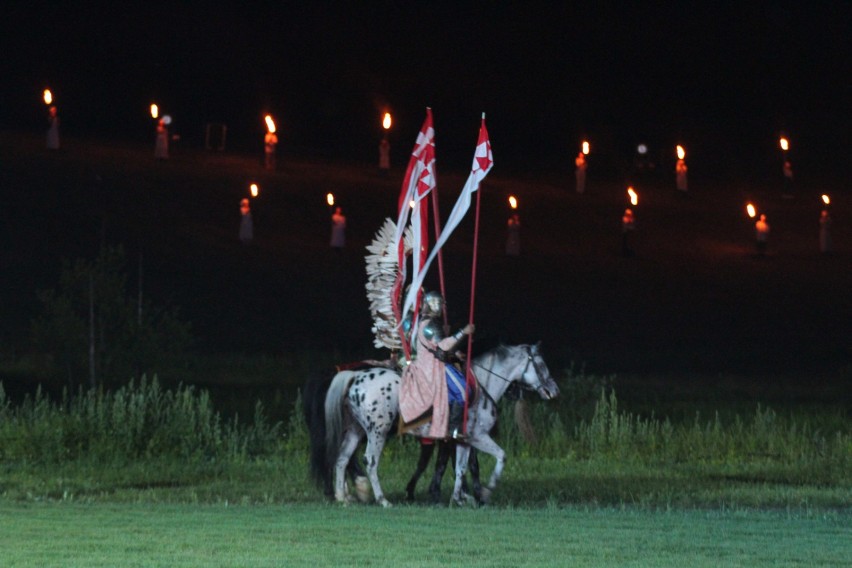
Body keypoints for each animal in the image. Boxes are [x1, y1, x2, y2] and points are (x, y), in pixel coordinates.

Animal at [308, 342, 560, 506]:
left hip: (356, 430)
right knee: (369, 461)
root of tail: (353, 376)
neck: (480, 385)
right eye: (541, 365)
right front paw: (487, 491)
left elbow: (460, 468)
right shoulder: (478, 437)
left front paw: (459, 498)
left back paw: (343, 497)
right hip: (377, 431)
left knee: (342, 459)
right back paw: (381, 499)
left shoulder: (462, 440)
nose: (553, 391)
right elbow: (500, 457)